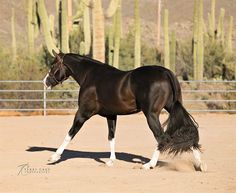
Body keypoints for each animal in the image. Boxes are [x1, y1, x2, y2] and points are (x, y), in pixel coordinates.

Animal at [43, 50, 206, 171]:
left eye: (53, 65)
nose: (45, 82)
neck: (90, 76)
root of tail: (165, 72)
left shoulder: (83, 113)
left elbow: (70, 134)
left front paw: (54, 157)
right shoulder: (111, 115)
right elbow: (111, 137)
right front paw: (110, 161)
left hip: (151, 115)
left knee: (162, 137)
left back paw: (149, 165)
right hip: (172, 107)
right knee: (188, 129)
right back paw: (200, 165)